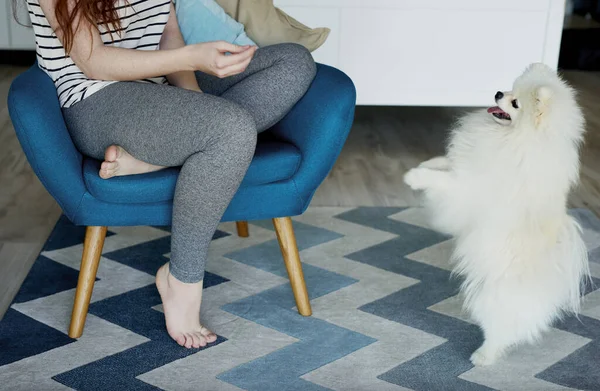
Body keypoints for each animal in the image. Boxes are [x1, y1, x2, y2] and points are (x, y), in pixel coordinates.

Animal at [406, 62, 588, 366]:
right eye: (511, 88)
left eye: (515, 103)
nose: (498, 93)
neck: (513, 139)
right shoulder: (468, 164)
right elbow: (445, 163)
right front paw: (425, 164)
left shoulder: (468, 188)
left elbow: (444, 181)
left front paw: (414, 177)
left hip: (493, 300)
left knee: (503, 331)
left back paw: (483, 356)